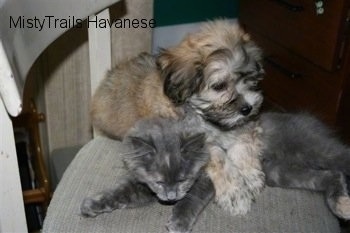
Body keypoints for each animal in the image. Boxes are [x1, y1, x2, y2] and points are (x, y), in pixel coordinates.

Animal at [81, 118, 215, 233]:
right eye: (159, 182)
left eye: (182, 181)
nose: (171, 197)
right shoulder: (141, 182)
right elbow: (119, 191)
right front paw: (92, 204)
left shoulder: (208, 179)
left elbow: (192, 197)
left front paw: (179, 222)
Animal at [90, 19, 266, 216]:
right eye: (219, 86)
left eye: (251, 80)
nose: (247, 108)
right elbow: (218, 157)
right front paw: (235, 192)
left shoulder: (244, 125)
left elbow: (244, 142)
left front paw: (250, 175)